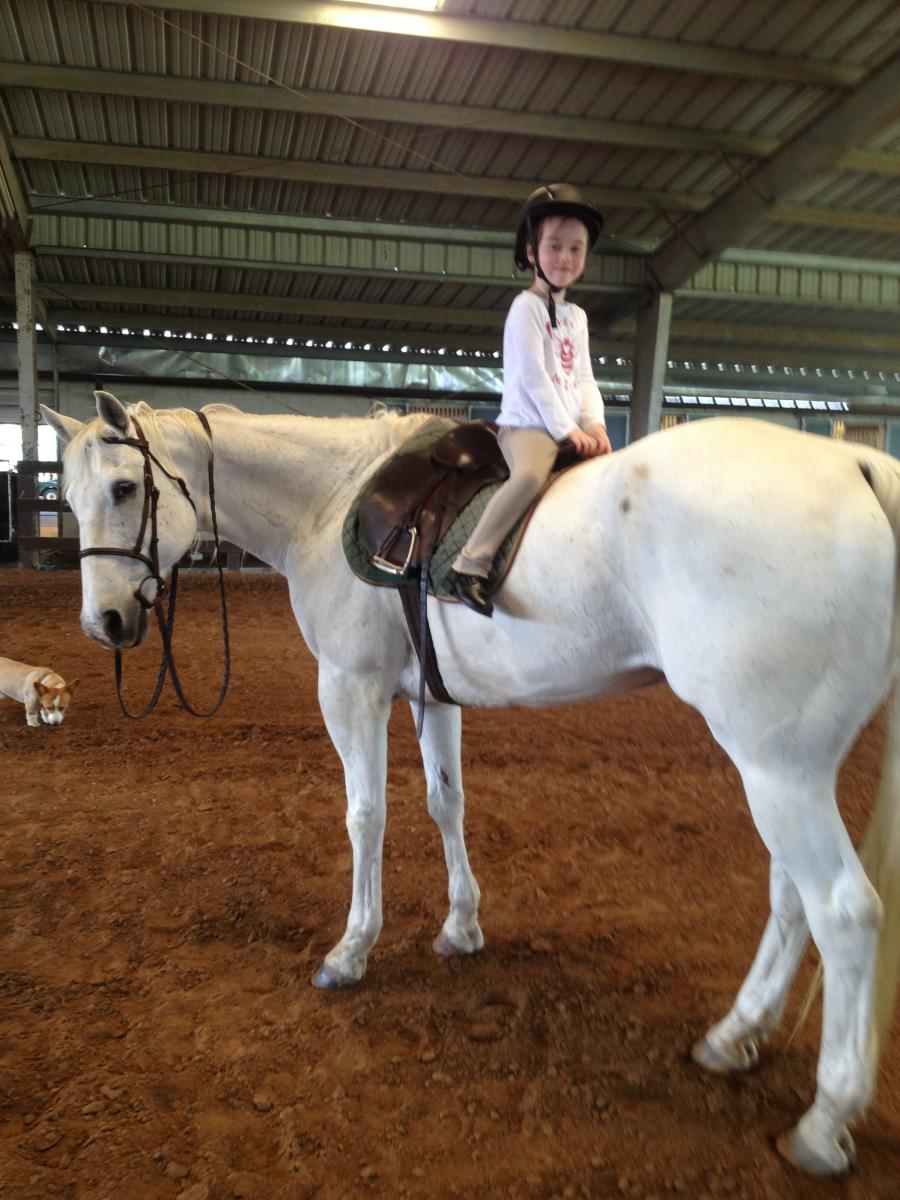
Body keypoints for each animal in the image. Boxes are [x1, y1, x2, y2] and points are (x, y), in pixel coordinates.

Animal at [41, 389, 900, 1179]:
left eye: (124, 487)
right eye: (71, 496)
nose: (105, 623)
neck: (326, 496)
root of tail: (859, 467)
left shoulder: (350, 688)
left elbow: (367, 815)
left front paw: (352, 950)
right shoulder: (431, 693)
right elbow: (445, 802)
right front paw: (461, 927)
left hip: (777, 766)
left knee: (843, 911)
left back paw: (824, 1122)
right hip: (779, 766)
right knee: (791, 898)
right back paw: (734, 1036)